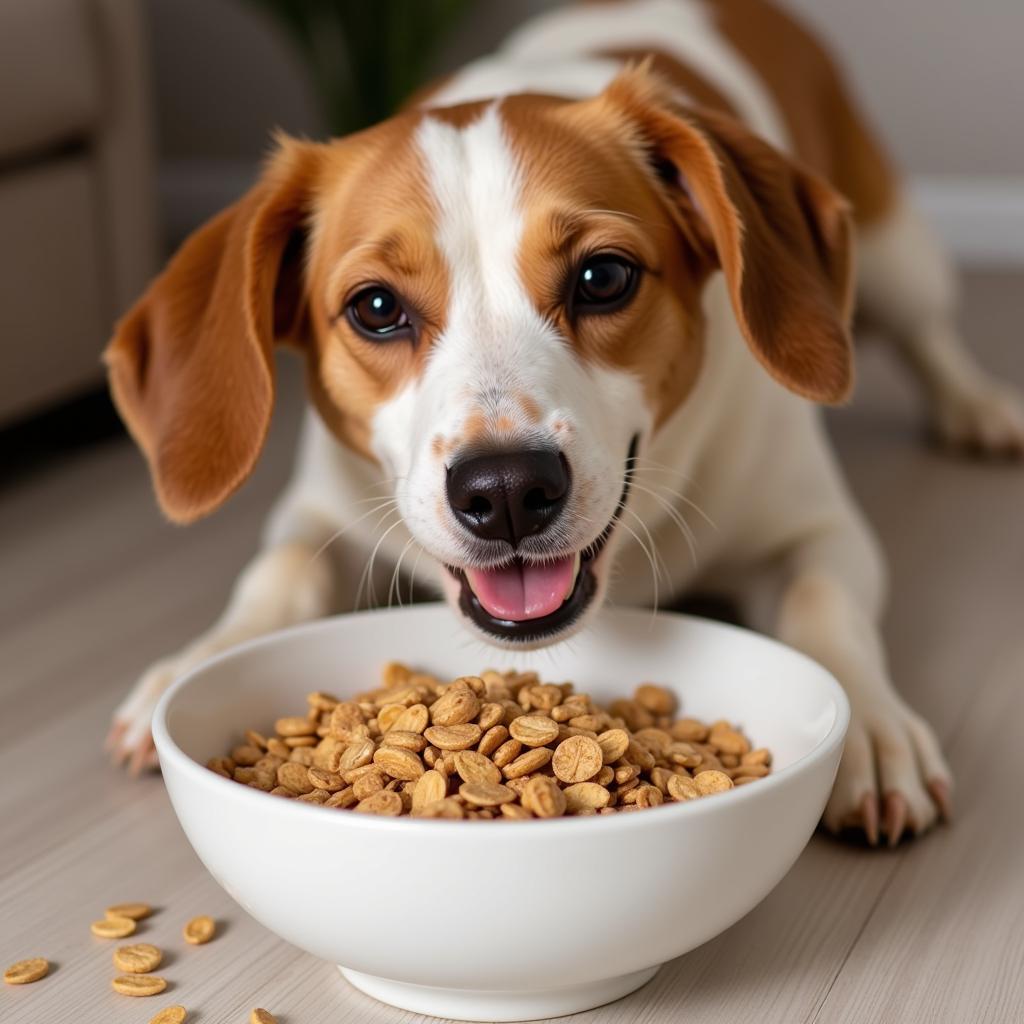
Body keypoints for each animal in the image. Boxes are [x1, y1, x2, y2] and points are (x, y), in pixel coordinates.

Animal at [105, 0, 1024, 843]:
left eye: (603, 277)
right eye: (375, 308)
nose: (506, 489)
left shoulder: (816, 528)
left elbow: (823, 606)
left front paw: (868, 725)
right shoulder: (319, 510)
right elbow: (278, 575)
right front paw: (200, 658)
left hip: (899, 255)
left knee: (930, 335)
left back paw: (981, 408)